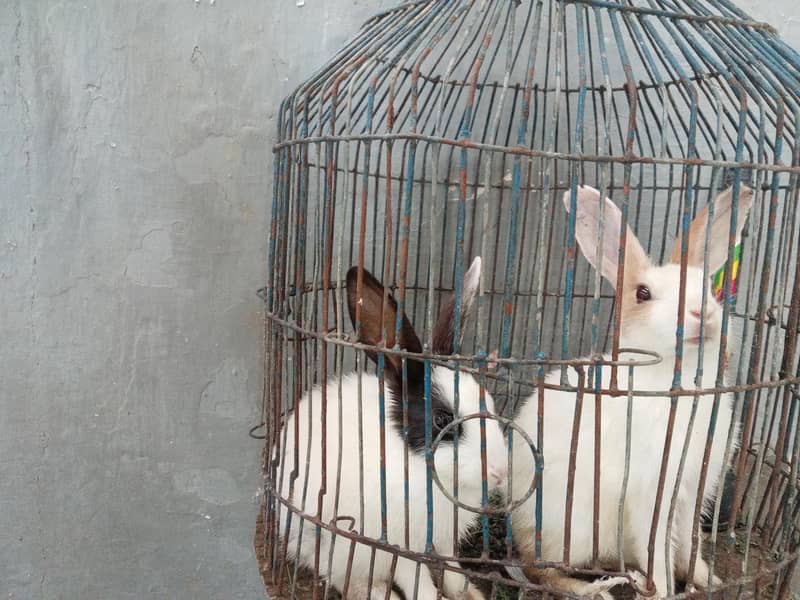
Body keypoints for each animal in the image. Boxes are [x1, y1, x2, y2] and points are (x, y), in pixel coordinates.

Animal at [274, 256, 508, 600]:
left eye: (489, 402)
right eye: (441, 420)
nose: (500, 472)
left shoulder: (441, 539)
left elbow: (451, 567)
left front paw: (468, 592)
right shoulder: (397, 543)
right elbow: (418, 582)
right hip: (342, 544)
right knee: (344, 579)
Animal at [508, 185, 753, 599]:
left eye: (708, 288)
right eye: (643, 293)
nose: (701, 313)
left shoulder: (693, 492)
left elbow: (689, 546)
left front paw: (708, 580)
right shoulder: (650, 494)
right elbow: (659, 551)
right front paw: (666, 590)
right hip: (569, 529)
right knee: (539, 570)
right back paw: (596, 589)